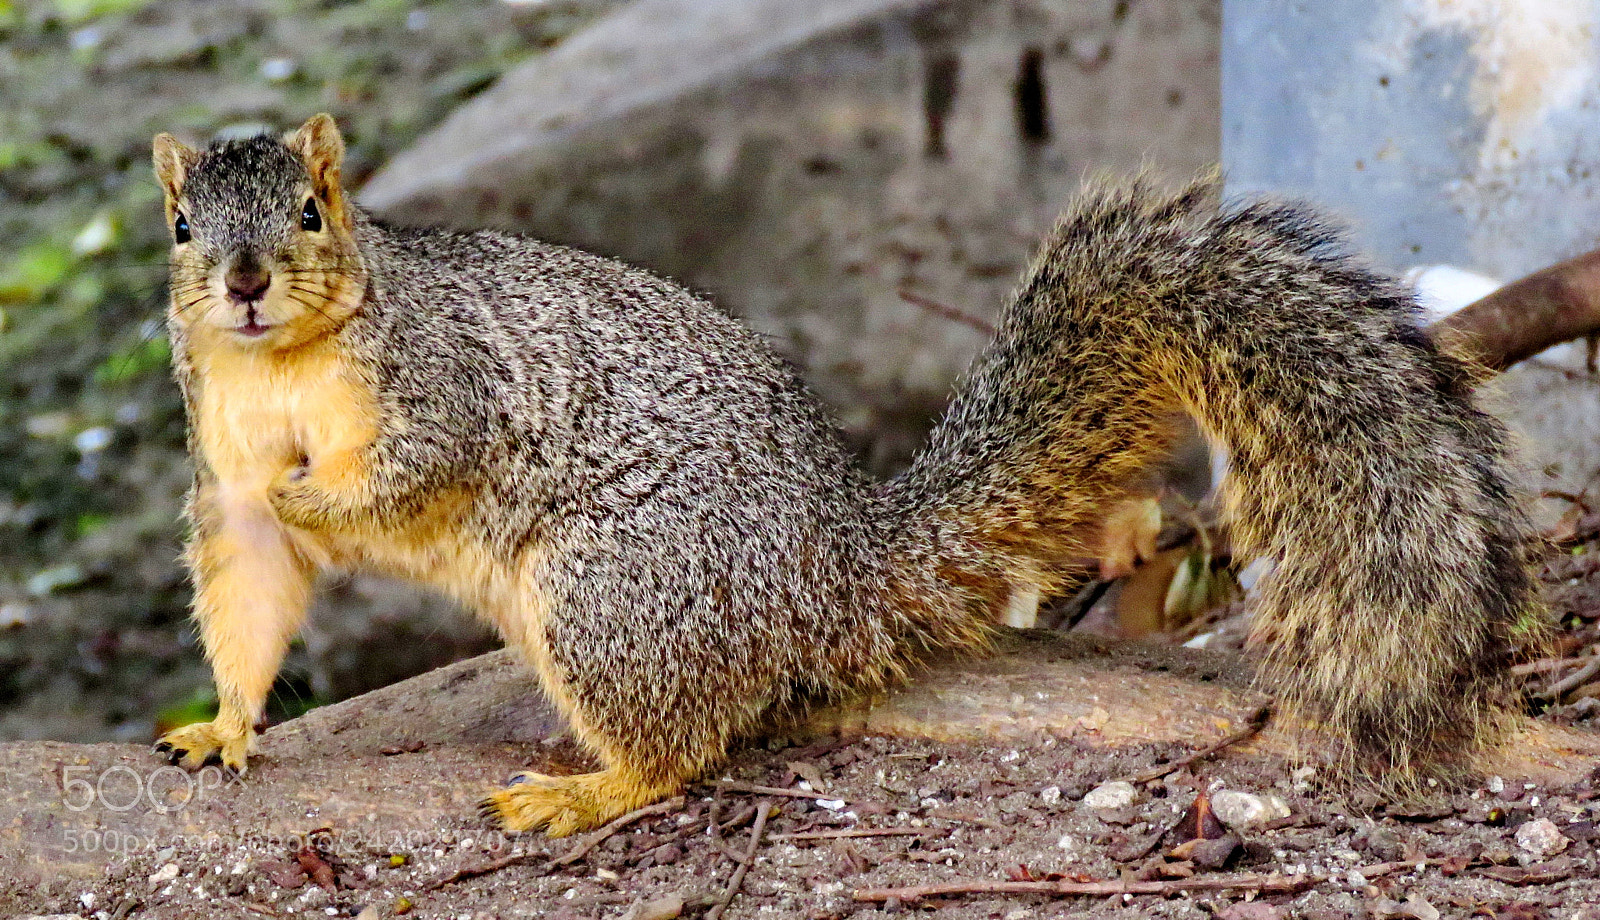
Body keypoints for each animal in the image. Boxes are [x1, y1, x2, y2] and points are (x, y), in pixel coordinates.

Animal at [150, 114, 1540, 836]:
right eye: (180, 226)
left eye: (313, 211)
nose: (245, 280)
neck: (283, 365)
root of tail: (832, 571)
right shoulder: (219, 463)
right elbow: (250, 578)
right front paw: (224, 727)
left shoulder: (446, 387)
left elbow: (412, 470)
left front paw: (315, 491)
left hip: (612, 589)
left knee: (684, 745)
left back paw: (589, 787)